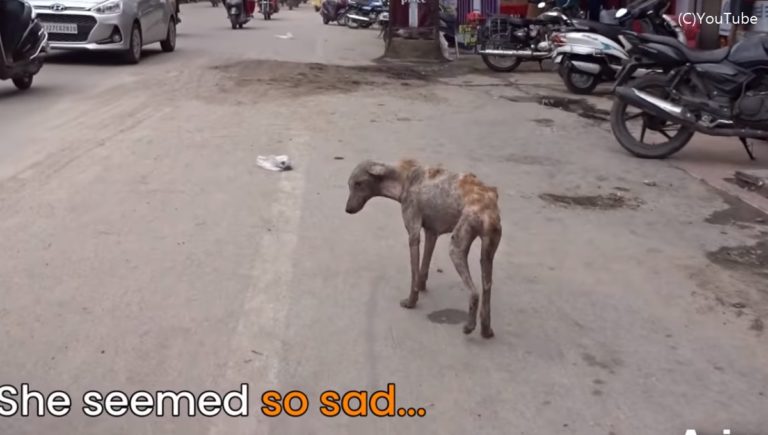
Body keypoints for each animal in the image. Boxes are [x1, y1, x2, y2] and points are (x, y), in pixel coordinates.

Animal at [344, 160, 500, 340]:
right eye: (349, 185)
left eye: (358, 183)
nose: (347, 210)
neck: (403, 178)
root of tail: (488, 207)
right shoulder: (432, 233)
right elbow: (423, 267)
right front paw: (422, 286)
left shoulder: (413, 233)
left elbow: (414, 272)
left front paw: (411, 301)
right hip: (488, 254)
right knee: (487, 288)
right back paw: (486, 329)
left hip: (456, 248)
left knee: (474, 293)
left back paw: (469, 326)